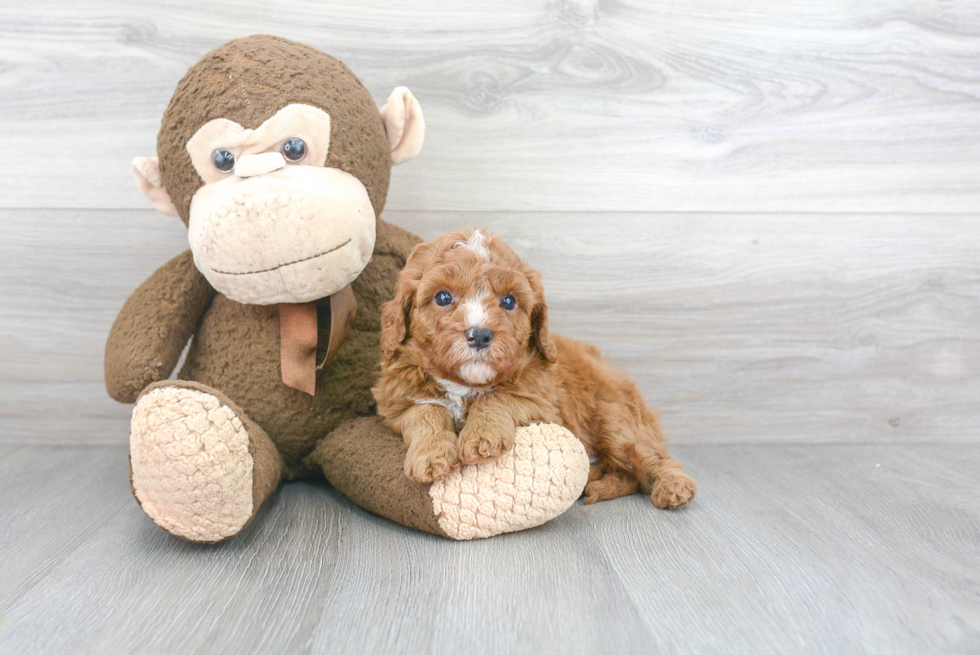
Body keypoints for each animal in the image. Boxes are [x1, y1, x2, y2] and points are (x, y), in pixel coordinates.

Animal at [370, 228, 696, 510]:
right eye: (443, 297)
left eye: (508, 301)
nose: (480, 335)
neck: (466, 384)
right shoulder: (396, 404)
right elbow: (427, 411)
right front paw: (431, 456)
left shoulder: (542, 402)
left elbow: (497, 396)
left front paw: (481, 437)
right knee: (626, 473)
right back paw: (595, 484)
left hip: (615, 420)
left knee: (650, 457)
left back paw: (673, 487)